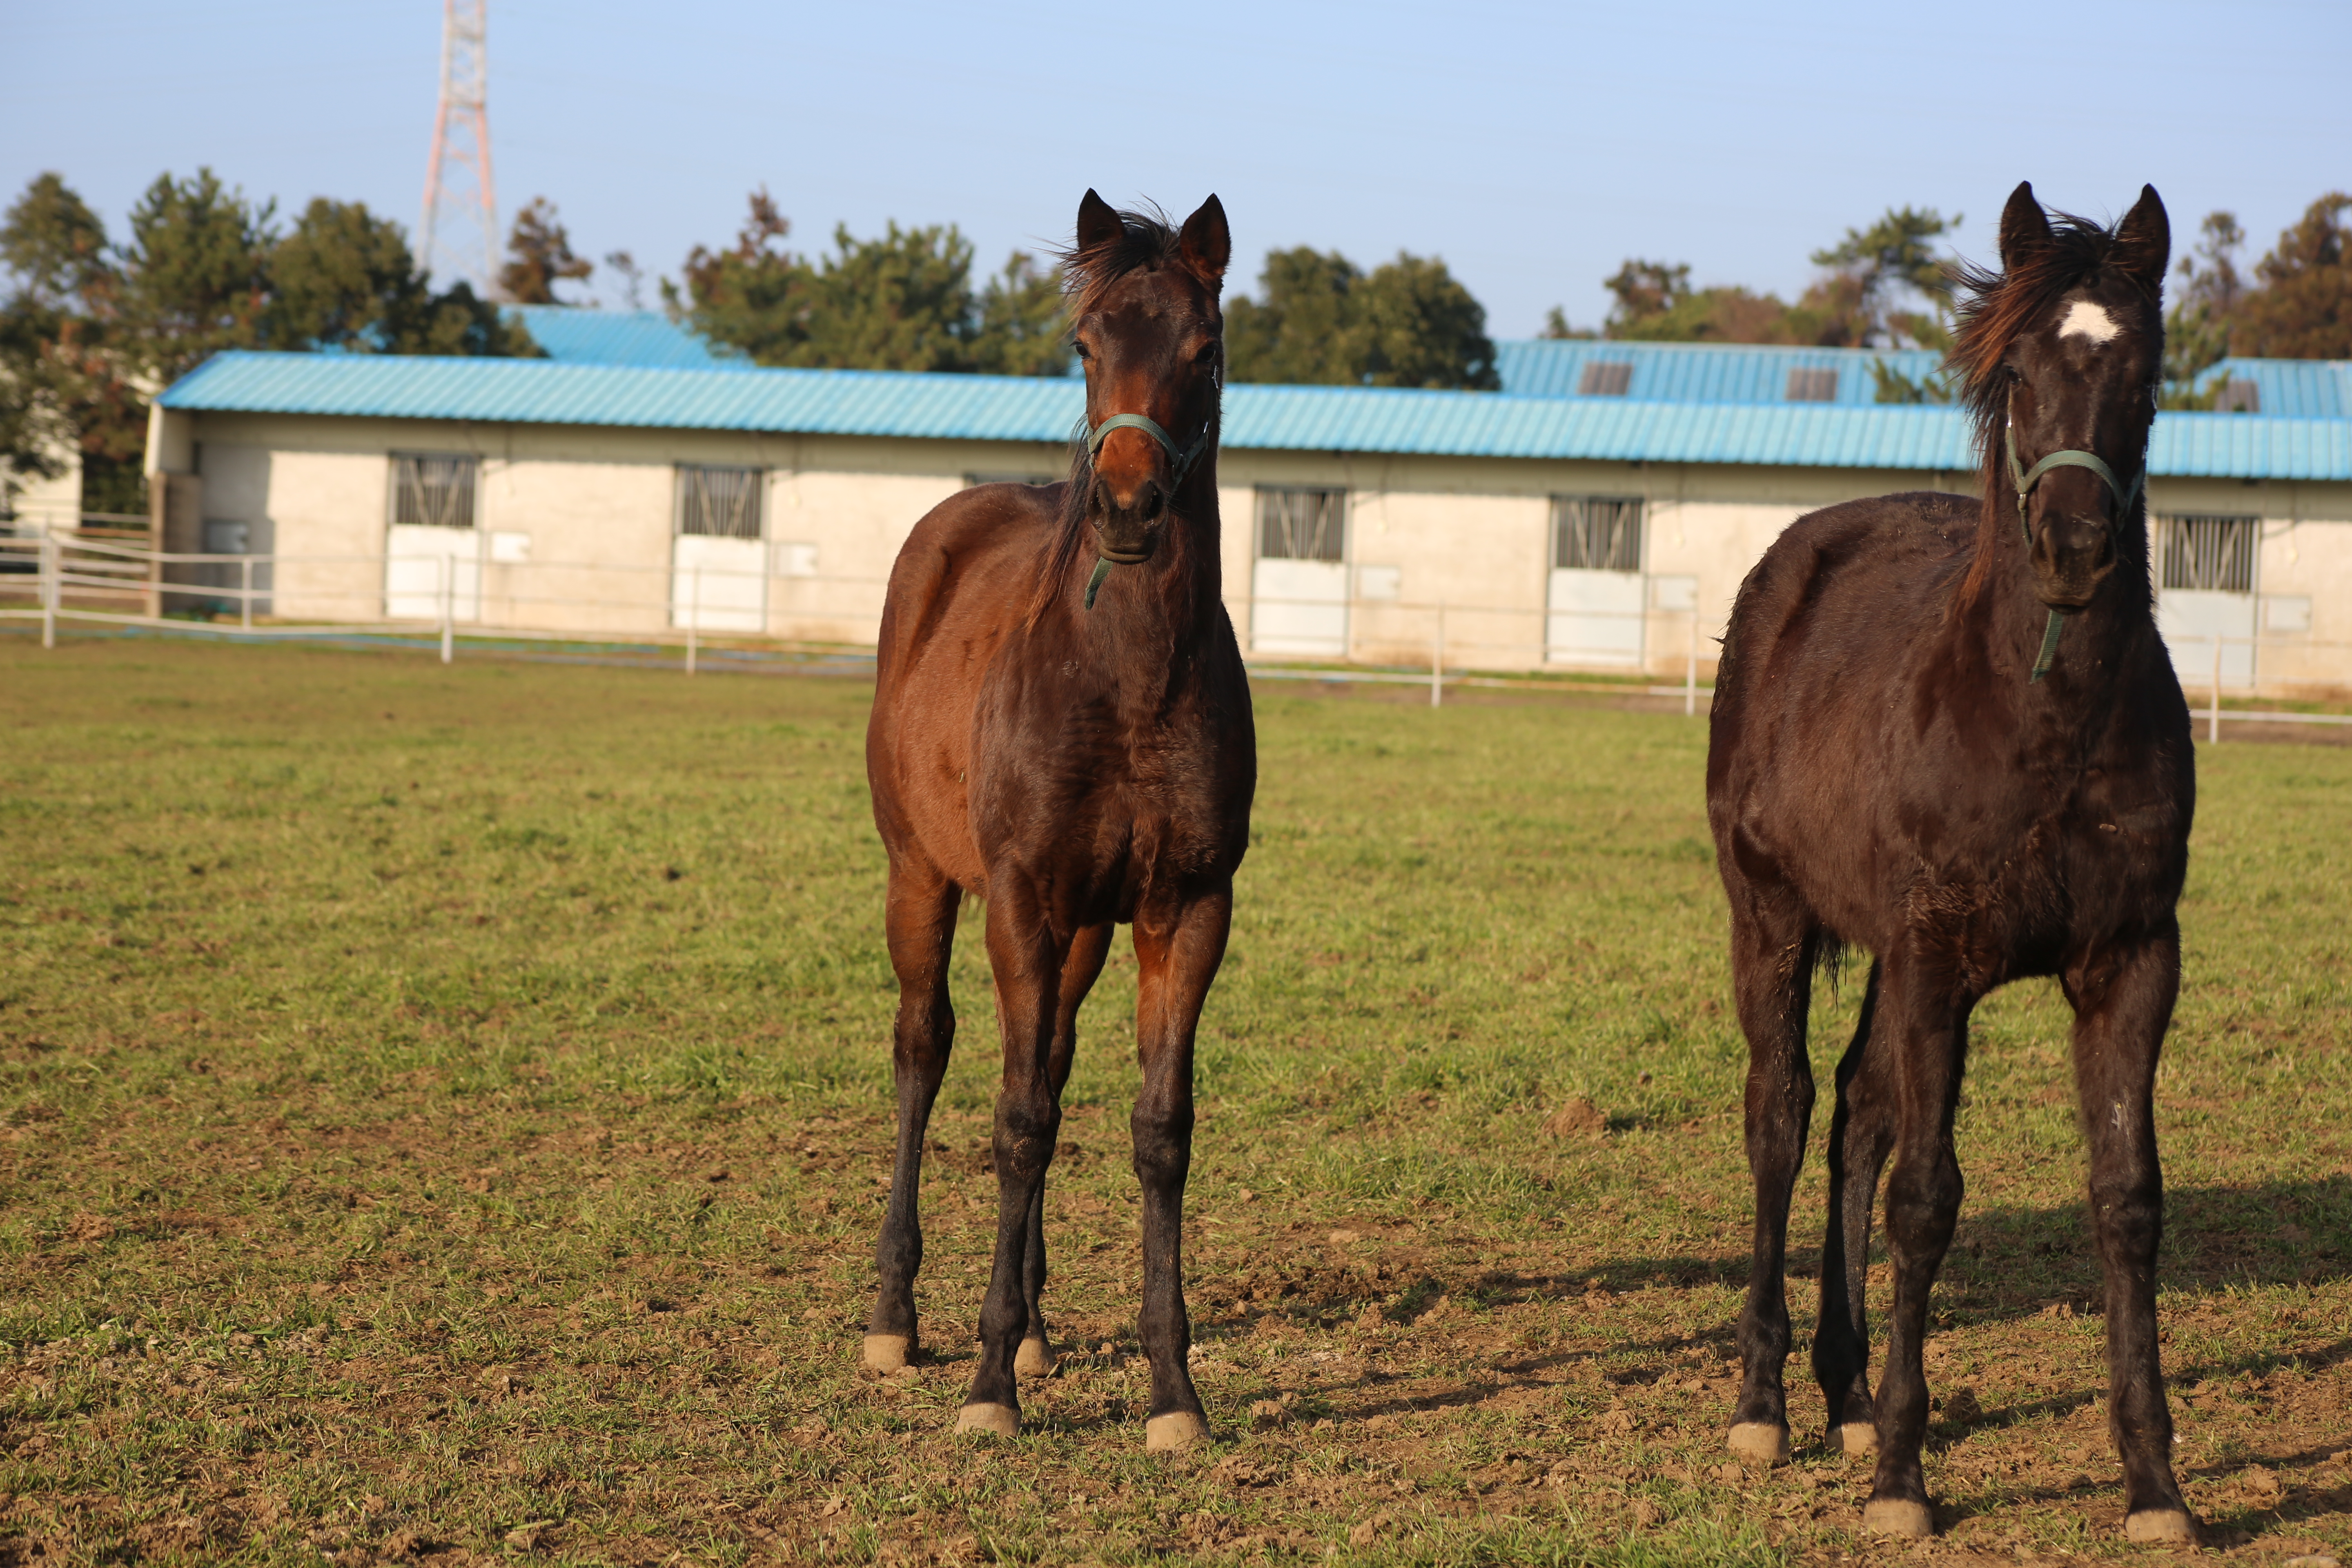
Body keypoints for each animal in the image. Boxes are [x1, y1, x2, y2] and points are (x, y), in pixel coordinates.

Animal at [861, 190, 1251, 1457]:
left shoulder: (1186, 910)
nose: (1127, 508)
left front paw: (1171, 1390)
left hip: (1080, 930)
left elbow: (1156, 1128)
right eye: (1085, 347)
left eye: (1204, 350)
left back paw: (1034, 1323)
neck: (1123, 680)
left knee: (1057, 1056)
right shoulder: (1021, 902)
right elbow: (1018, 1120)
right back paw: (897, 1318)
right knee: (924, 1048)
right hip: (922, 880)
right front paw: (989, 1385)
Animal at [1703, 184, 2192, 1542]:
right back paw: (1768, 1404)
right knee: (1783, 1113)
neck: (2043, 724)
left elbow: (2127, 1201)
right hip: (1771, 916)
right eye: (2017, 374)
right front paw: (1905, 1484)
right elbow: (1926, 1197)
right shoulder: (1938, 959)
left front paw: (2155, 1484)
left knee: (1854, 1115)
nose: (2075, 547)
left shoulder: (2131, 964)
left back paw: (1846, 1392)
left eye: (2143, 371)